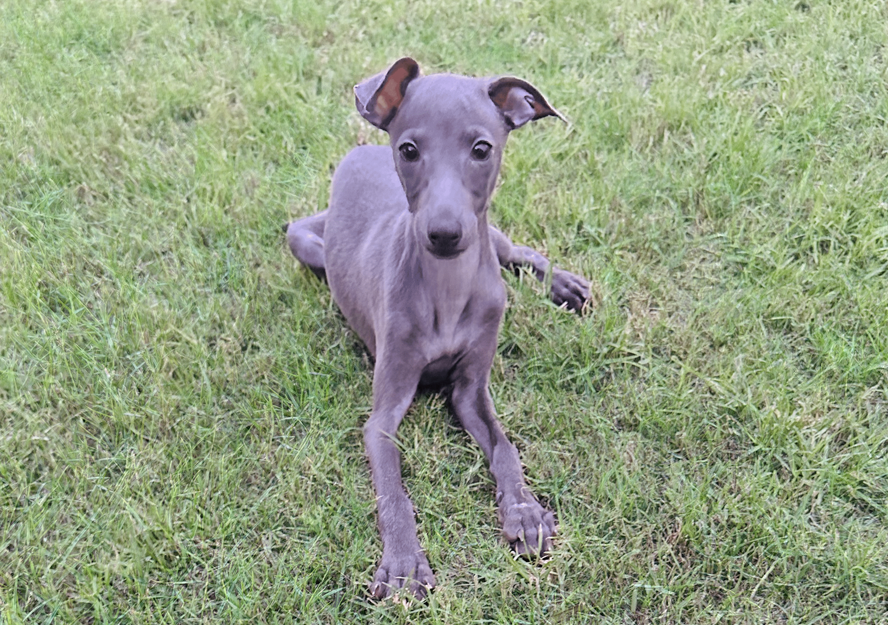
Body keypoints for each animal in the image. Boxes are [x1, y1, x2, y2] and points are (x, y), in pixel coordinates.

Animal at [286, 59, 588, 600]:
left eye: (481, 149)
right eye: (409, 150)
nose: (444, 233)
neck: (447, 287)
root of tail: (361, 149)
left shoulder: (471, 389)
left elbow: (505, 447)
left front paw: (525, 511)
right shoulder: (382, 418)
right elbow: (393, 489)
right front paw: (405, 561)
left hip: (490, 234)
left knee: (513, 250)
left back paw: (563, 284)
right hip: (303, 241)